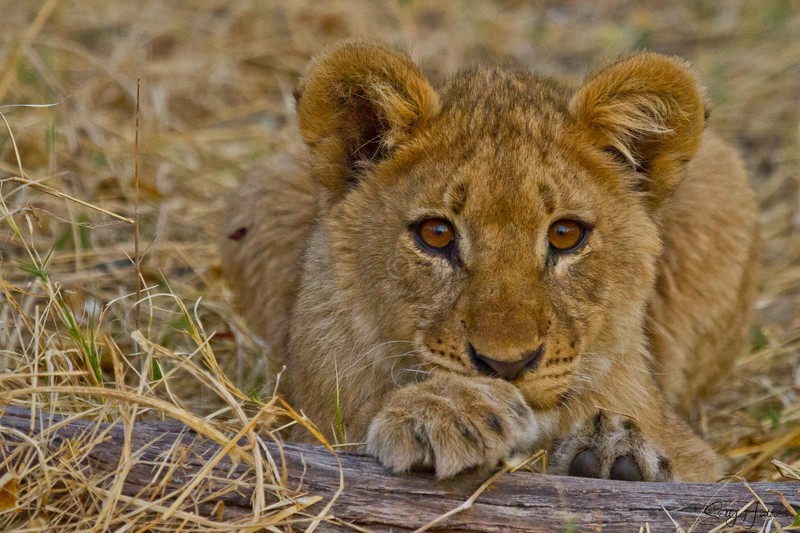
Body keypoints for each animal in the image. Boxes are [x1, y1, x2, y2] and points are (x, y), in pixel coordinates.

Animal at [221, 40, 758, 482]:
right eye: (436, 234)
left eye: (565, 235)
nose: (507, 365)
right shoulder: (307, 424)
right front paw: (447, 411)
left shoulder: (692, 452)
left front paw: (613, 449)